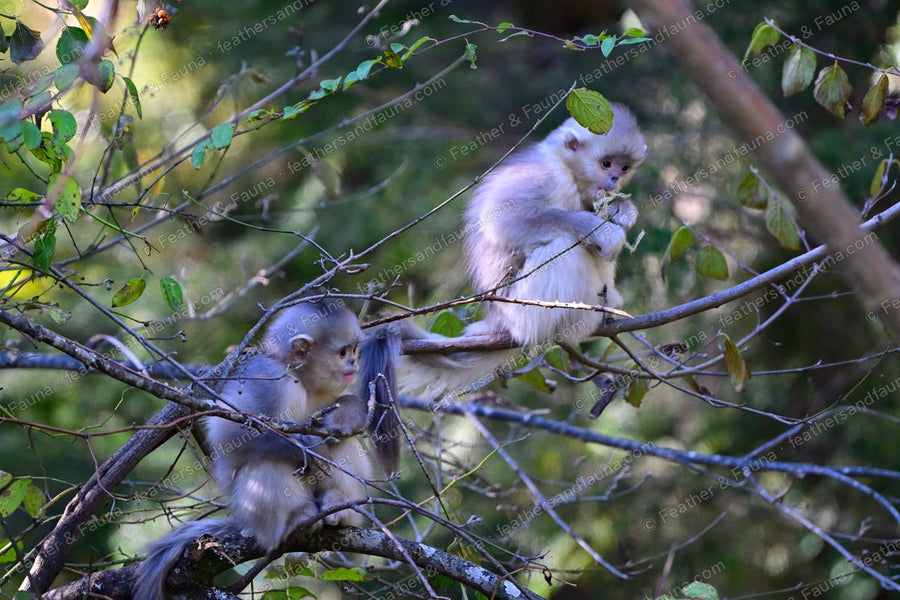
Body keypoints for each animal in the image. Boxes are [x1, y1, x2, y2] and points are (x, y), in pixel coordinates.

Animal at [134, 299, 400, 600]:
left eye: (354, 350)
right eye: (343, 353)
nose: (353, 363)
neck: (301, 378)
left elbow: (348, 417)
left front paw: (343, 417)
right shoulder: (268, 378)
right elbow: (231, 433)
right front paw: (303, 447)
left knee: (341, 445)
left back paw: (339, 508)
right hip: (259, 518)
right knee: (263, 464)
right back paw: (296, 518)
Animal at [399, 103, 646, 398]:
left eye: (625, 167)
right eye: (606, 163)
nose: (614, 178)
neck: (568, 169)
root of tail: (500, 323)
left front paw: (622, 209)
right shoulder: (547, 176)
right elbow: (506, 219)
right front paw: (603, 231)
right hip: (525, 311)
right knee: (565, 246)